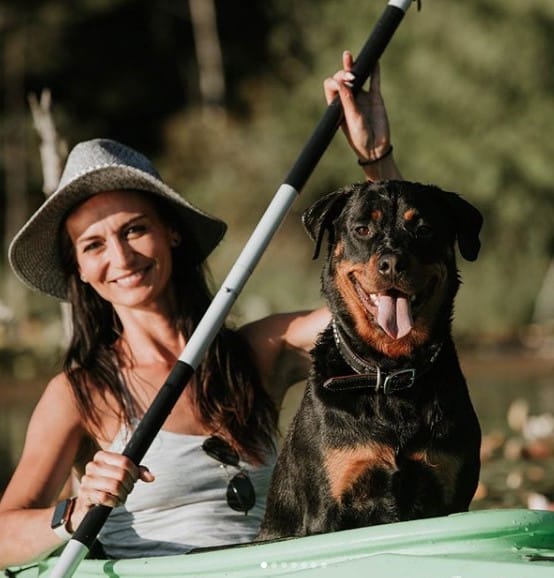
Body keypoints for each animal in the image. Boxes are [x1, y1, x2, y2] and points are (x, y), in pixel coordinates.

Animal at [258, 180, 483, 539]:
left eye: (424, 229)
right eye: (362, 229)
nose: (392, 263)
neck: (390, 374)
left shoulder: (450, 492)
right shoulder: (328, 505)